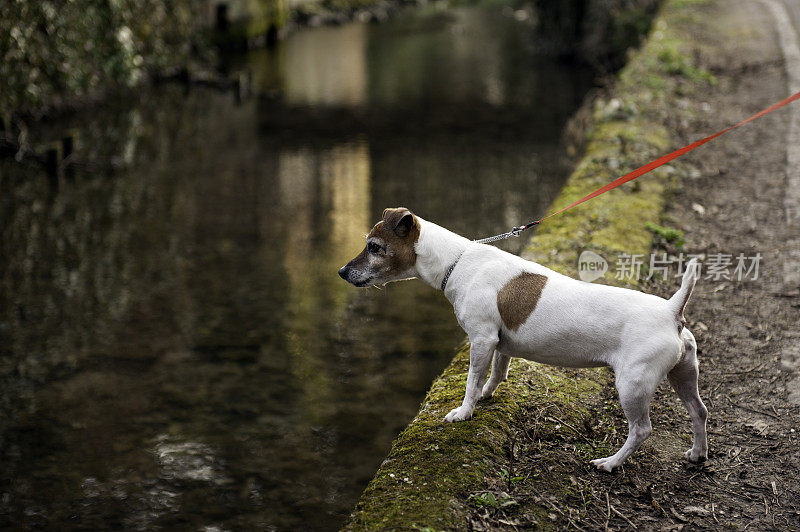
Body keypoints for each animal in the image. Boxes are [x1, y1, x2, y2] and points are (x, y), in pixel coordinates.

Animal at [338, 206, 708, 472]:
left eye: (374, 247)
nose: (341, 272)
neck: (459, 262)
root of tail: (672, 311)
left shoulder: (481, 340)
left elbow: (472, 380)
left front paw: (464, 411)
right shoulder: (499, 344)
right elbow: (496, 373)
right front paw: (486, 396)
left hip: (632, 384)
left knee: (642, 430)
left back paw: (611, 462)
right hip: (683, 375)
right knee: (699, 411)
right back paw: (697, 454)